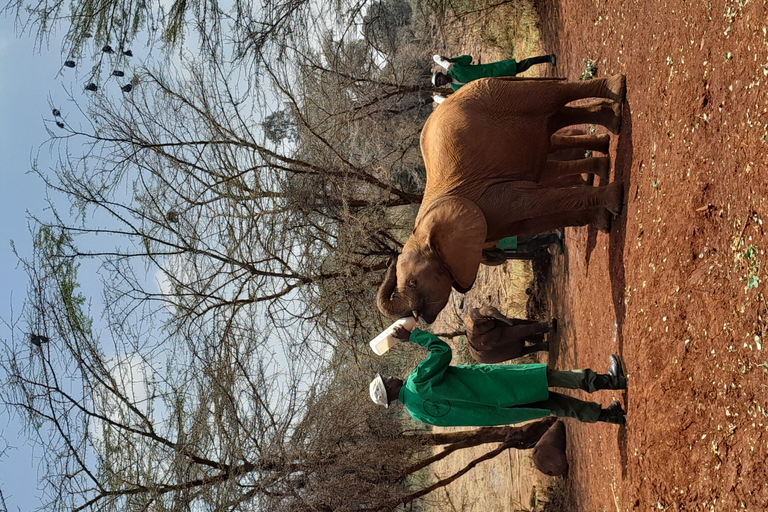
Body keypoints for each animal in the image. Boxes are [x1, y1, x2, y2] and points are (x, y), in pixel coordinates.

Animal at [378, 74, 624, 322]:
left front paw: (614, 201)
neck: (421, 229)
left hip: (501, 95)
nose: (418, 318)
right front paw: (603, 220)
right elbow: (534, 219)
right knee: (558, 118)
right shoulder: (495, 221)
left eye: (413, 282)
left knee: (553, 96)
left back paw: (617, 88)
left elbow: (531, 202)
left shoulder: (489, 195)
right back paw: (613, 126)